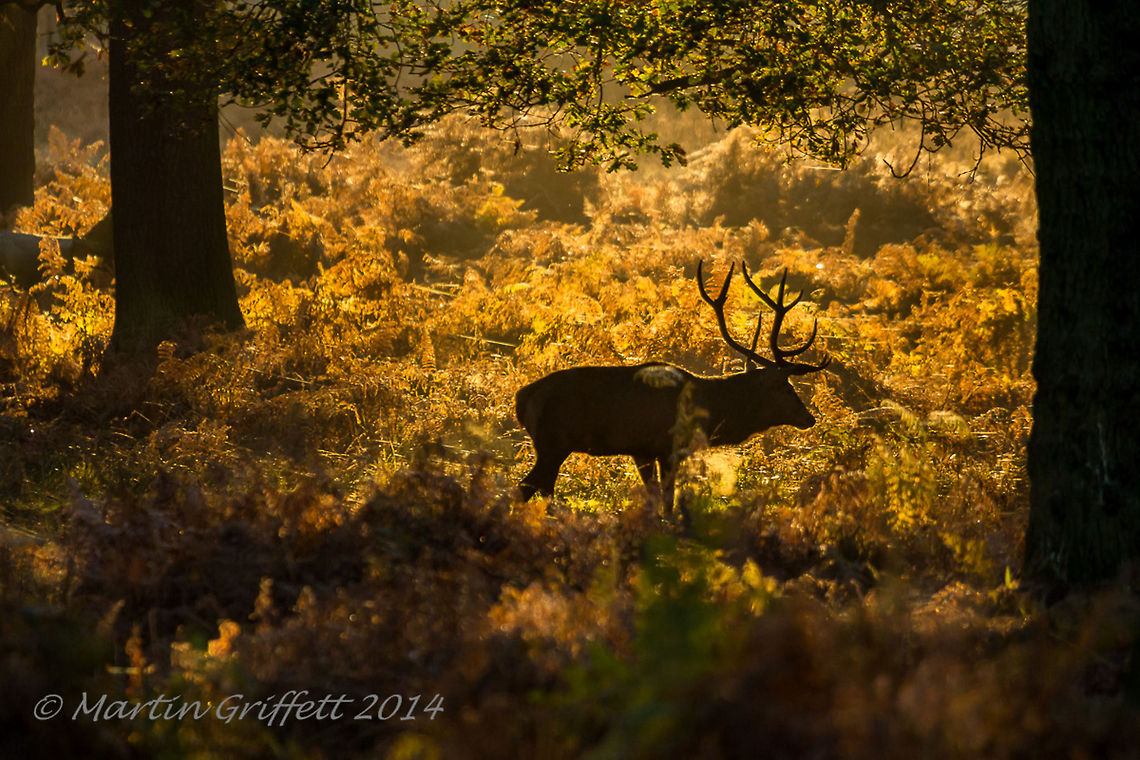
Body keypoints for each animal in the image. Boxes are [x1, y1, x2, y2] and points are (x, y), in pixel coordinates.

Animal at [515, 260, 829, 524]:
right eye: (784, 387)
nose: (809, 418)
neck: (708, 411)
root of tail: (522, 398)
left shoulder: (642, 450)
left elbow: (653, 497)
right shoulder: (668, 446)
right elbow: (668, 499)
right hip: (552, 443)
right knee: (526, 488)